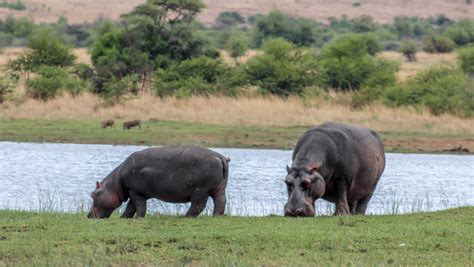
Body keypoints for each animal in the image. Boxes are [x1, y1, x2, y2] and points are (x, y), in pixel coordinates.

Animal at [89, 147, 231, 220]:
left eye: (92, 194)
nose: (88, 215)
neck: (116, 184)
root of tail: (221, 158)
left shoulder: (136, 192)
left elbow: (139, 206)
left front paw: (137, 218)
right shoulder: (133, 192)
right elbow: (131, 207)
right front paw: (124, 218)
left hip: (200, 191)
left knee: (198, 206)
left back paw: (185, 217)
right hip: (219, 189)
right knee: (220, 202)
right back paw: (216, 216)